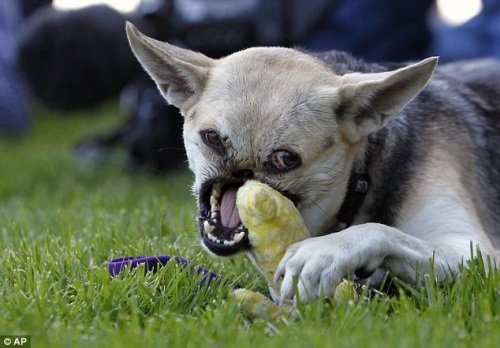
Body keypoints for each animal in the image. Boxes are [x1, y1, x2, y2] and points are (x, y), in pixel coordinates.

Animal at [125, 21, 500, 304]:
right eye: (212, 138)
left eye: (284, 159)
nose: (242, 177)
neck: (363, 180)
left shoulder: (477, 254)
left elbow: (379, 230)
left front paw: (325, 251)